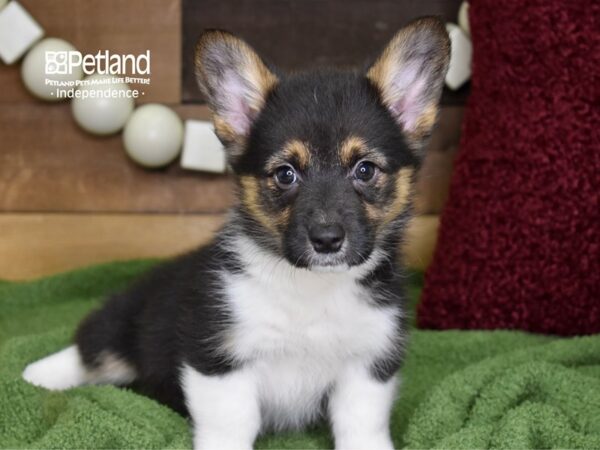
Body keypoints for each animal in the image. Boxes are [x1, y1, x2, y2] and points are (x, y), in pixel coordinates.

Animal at [23, 17, 448, 450]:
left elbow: (362, 425)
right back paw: (35, 376)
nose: (327, 240)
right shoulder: (218, 357)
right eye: (285, 174)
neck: (312, 288)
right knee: (90, 349)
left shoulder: (368, 364)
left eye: (365, 170)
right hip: (124, 319)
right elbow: (232, 423)